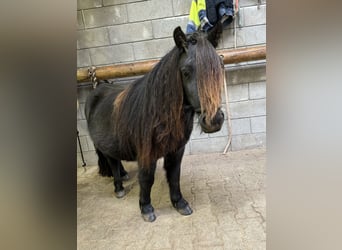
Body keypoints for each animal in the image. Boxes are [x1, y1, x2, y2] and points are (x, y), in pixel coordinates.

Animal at [85, 23, 224, 222]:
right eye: (185, 72)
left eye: (220, 66)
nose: (213, 120)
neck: (159, 113)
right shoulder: (146, 154)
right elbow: (146, 179)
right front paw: (146, 208)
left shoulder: (176, 150)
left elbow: (174, 175)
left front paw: (180, 203)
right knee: (112, 162)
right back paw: (119, 188)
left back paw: (124, 176)